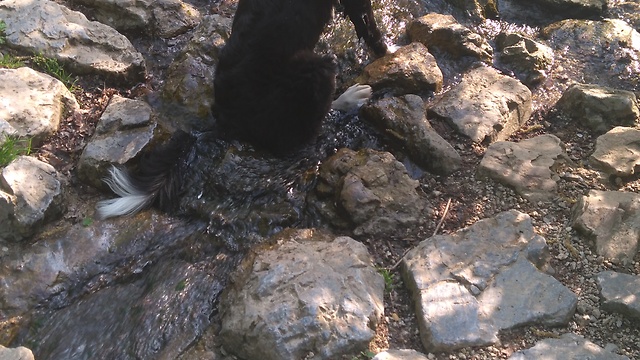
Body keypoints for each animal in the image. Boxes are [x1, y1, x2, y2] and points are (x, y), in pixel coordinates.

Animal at [94, 0, 384, 219]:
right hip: (315, 69)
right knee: (307, 133)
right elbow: (370, 28)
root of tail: (225, 121)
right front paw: (387, 54)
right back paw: (351, 97)